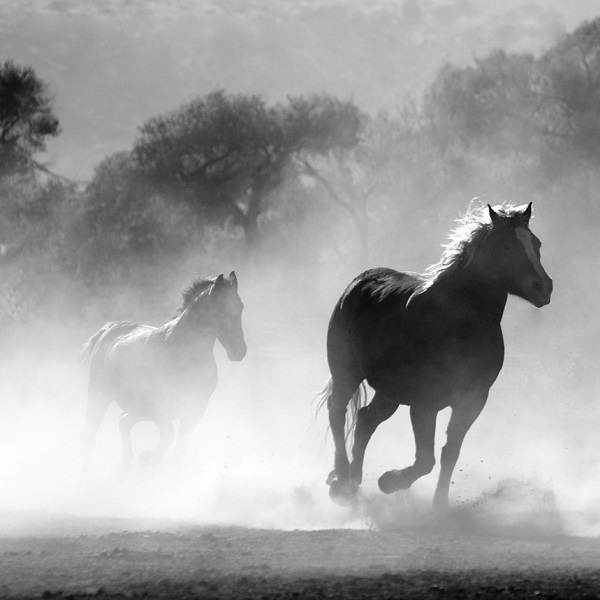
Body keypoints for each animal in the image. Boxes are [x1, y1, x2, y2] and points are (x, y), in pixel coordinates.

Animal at [81, 272, 246, 474]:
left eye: (240, 306)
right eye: (220, 308)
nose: (239, 351)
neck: (184, 352)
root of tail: (109, 329)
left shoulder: (195, 410)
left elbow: (179, 449)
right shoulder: (159, 406)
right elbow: (169, 434)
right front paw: (149, 458)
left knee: (123, 421)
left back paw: (124, 464)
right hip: (99, 394)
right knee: (90, 435)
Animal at [318, 204, 552, 512]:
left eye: (536, 244)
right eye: (505, 246)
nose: (543, 287)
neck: (458, 322)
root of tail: (359, 282)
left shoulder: (472, 400)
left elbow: (449, 452)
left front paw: (440, 506)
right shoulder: (424, 403)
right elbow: (425, 459)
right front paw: (389, 481)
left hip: (389, 392)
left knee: (366, 419)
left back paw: (354, 481)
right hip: (347, 372)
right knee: (338, 412)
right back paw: (342, 480)